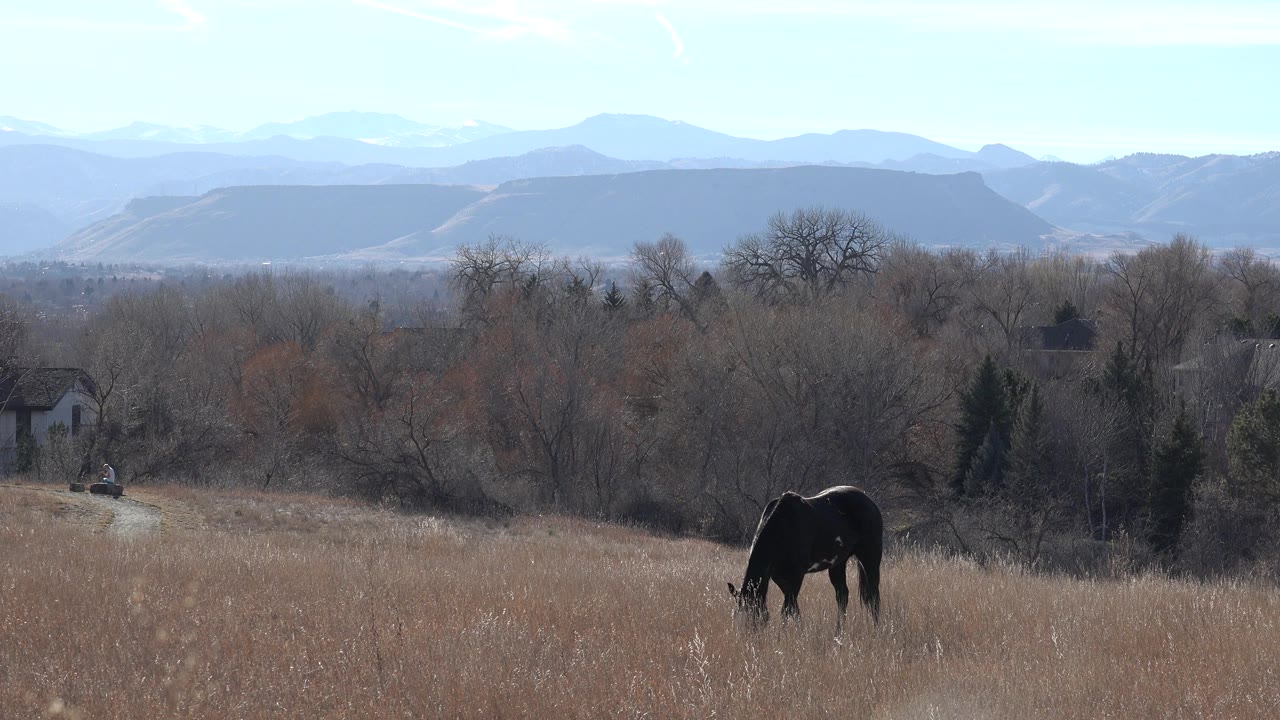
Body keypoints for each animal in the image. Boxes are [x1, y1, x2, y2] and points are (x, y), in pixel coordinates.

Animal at [727, 486, 882, 631]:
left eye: (753, 617)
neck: (783, 527)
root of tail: (869, 501)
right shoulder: (779, 577)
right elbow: (793, 608)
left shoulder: (797, 575)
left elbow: (788, 609)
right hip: (838, 563)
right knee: (842, 595)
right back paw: (839, 631)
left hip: (870, 558)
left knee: (873, 596)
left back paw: (876, 628)